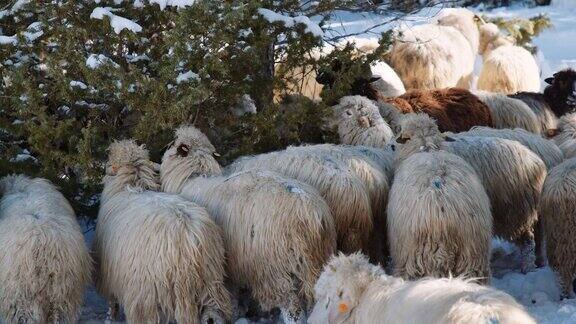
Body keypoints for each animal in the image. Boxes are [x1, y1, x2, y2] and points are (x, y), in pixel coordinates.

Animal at [94, 140, 230, 324]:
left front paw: (111, 317)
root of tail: (192, 238)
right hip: (210, 280)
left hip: (154, 294)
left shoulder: (109, 275)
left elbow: (112, 302)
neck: (130, 185)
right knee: (213, 313)